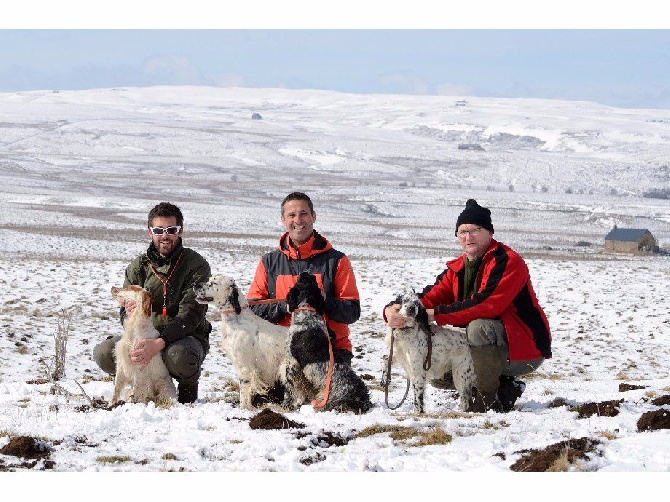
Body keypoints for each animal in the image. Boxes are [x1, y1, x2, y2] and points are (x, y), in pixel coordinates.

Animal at [193, 274, 290, 412]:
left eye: (214, 283)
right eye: (209, 280)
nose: (195, 285)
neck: (237, 319)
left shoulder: (245, 367)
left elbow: (244, 392)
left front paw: (243, 409)